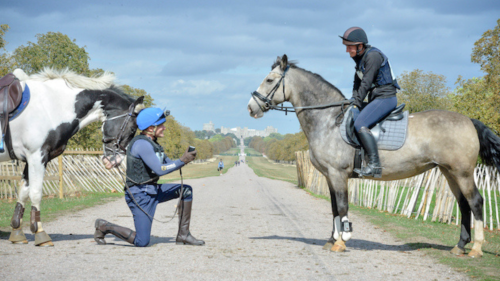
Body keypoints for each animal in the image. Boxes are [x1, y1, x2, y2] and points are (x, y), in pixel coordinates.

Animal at [4, 68, 144, 245]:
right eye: (132, 129)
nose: (116, 161)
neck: (50, 105)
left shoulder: (33, 159)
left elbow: (23, 191)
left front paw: (17, 231)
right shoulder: (36, 156)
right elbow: (35, 193)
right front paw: (40, 233)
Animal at [247, 53, 500, 258]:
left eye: (269, 80)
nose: (251, 107)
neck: (328, 121)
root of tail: (468, 120)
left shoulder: (338, 175)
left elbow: (342, 207)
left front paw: (342, 242)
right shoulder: (329, 177)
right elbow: (333, 208)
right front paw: (331, 240)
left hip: (462, 172)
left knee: (476, 202)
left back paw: (476, 249)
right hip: (449, 172)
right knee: (464, 205)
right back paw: (460, 246)